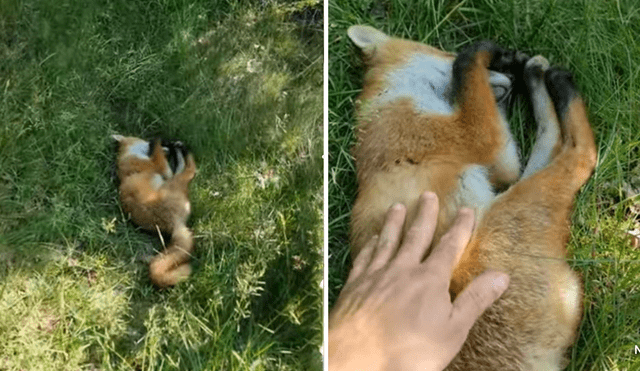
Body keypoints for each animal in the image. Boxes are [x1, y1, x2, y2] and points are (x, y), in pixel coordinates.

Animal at [112, 135, 196, 290]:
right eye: (143, 140)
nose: (168, 146)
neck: (126, 158)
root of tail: (174, 223)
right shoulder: (160, 167)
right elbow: (160, 157)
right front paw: (159, 141)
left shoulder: (164, 171)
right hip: (175, 183)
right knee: (190, 170)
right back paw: (186, 153)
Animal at [348, 24, 596, 370]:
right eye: (445, 50)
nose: (511, 80)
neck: (389, 99)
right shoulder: (480, 140)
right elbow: (466, 67)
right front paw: (486, 50)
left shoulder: (500, 160)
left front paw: (523, 67)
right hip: (512, 211)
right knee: (580, 154)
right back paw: (560, 83)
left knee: (556, 141)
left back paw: (540, 76)